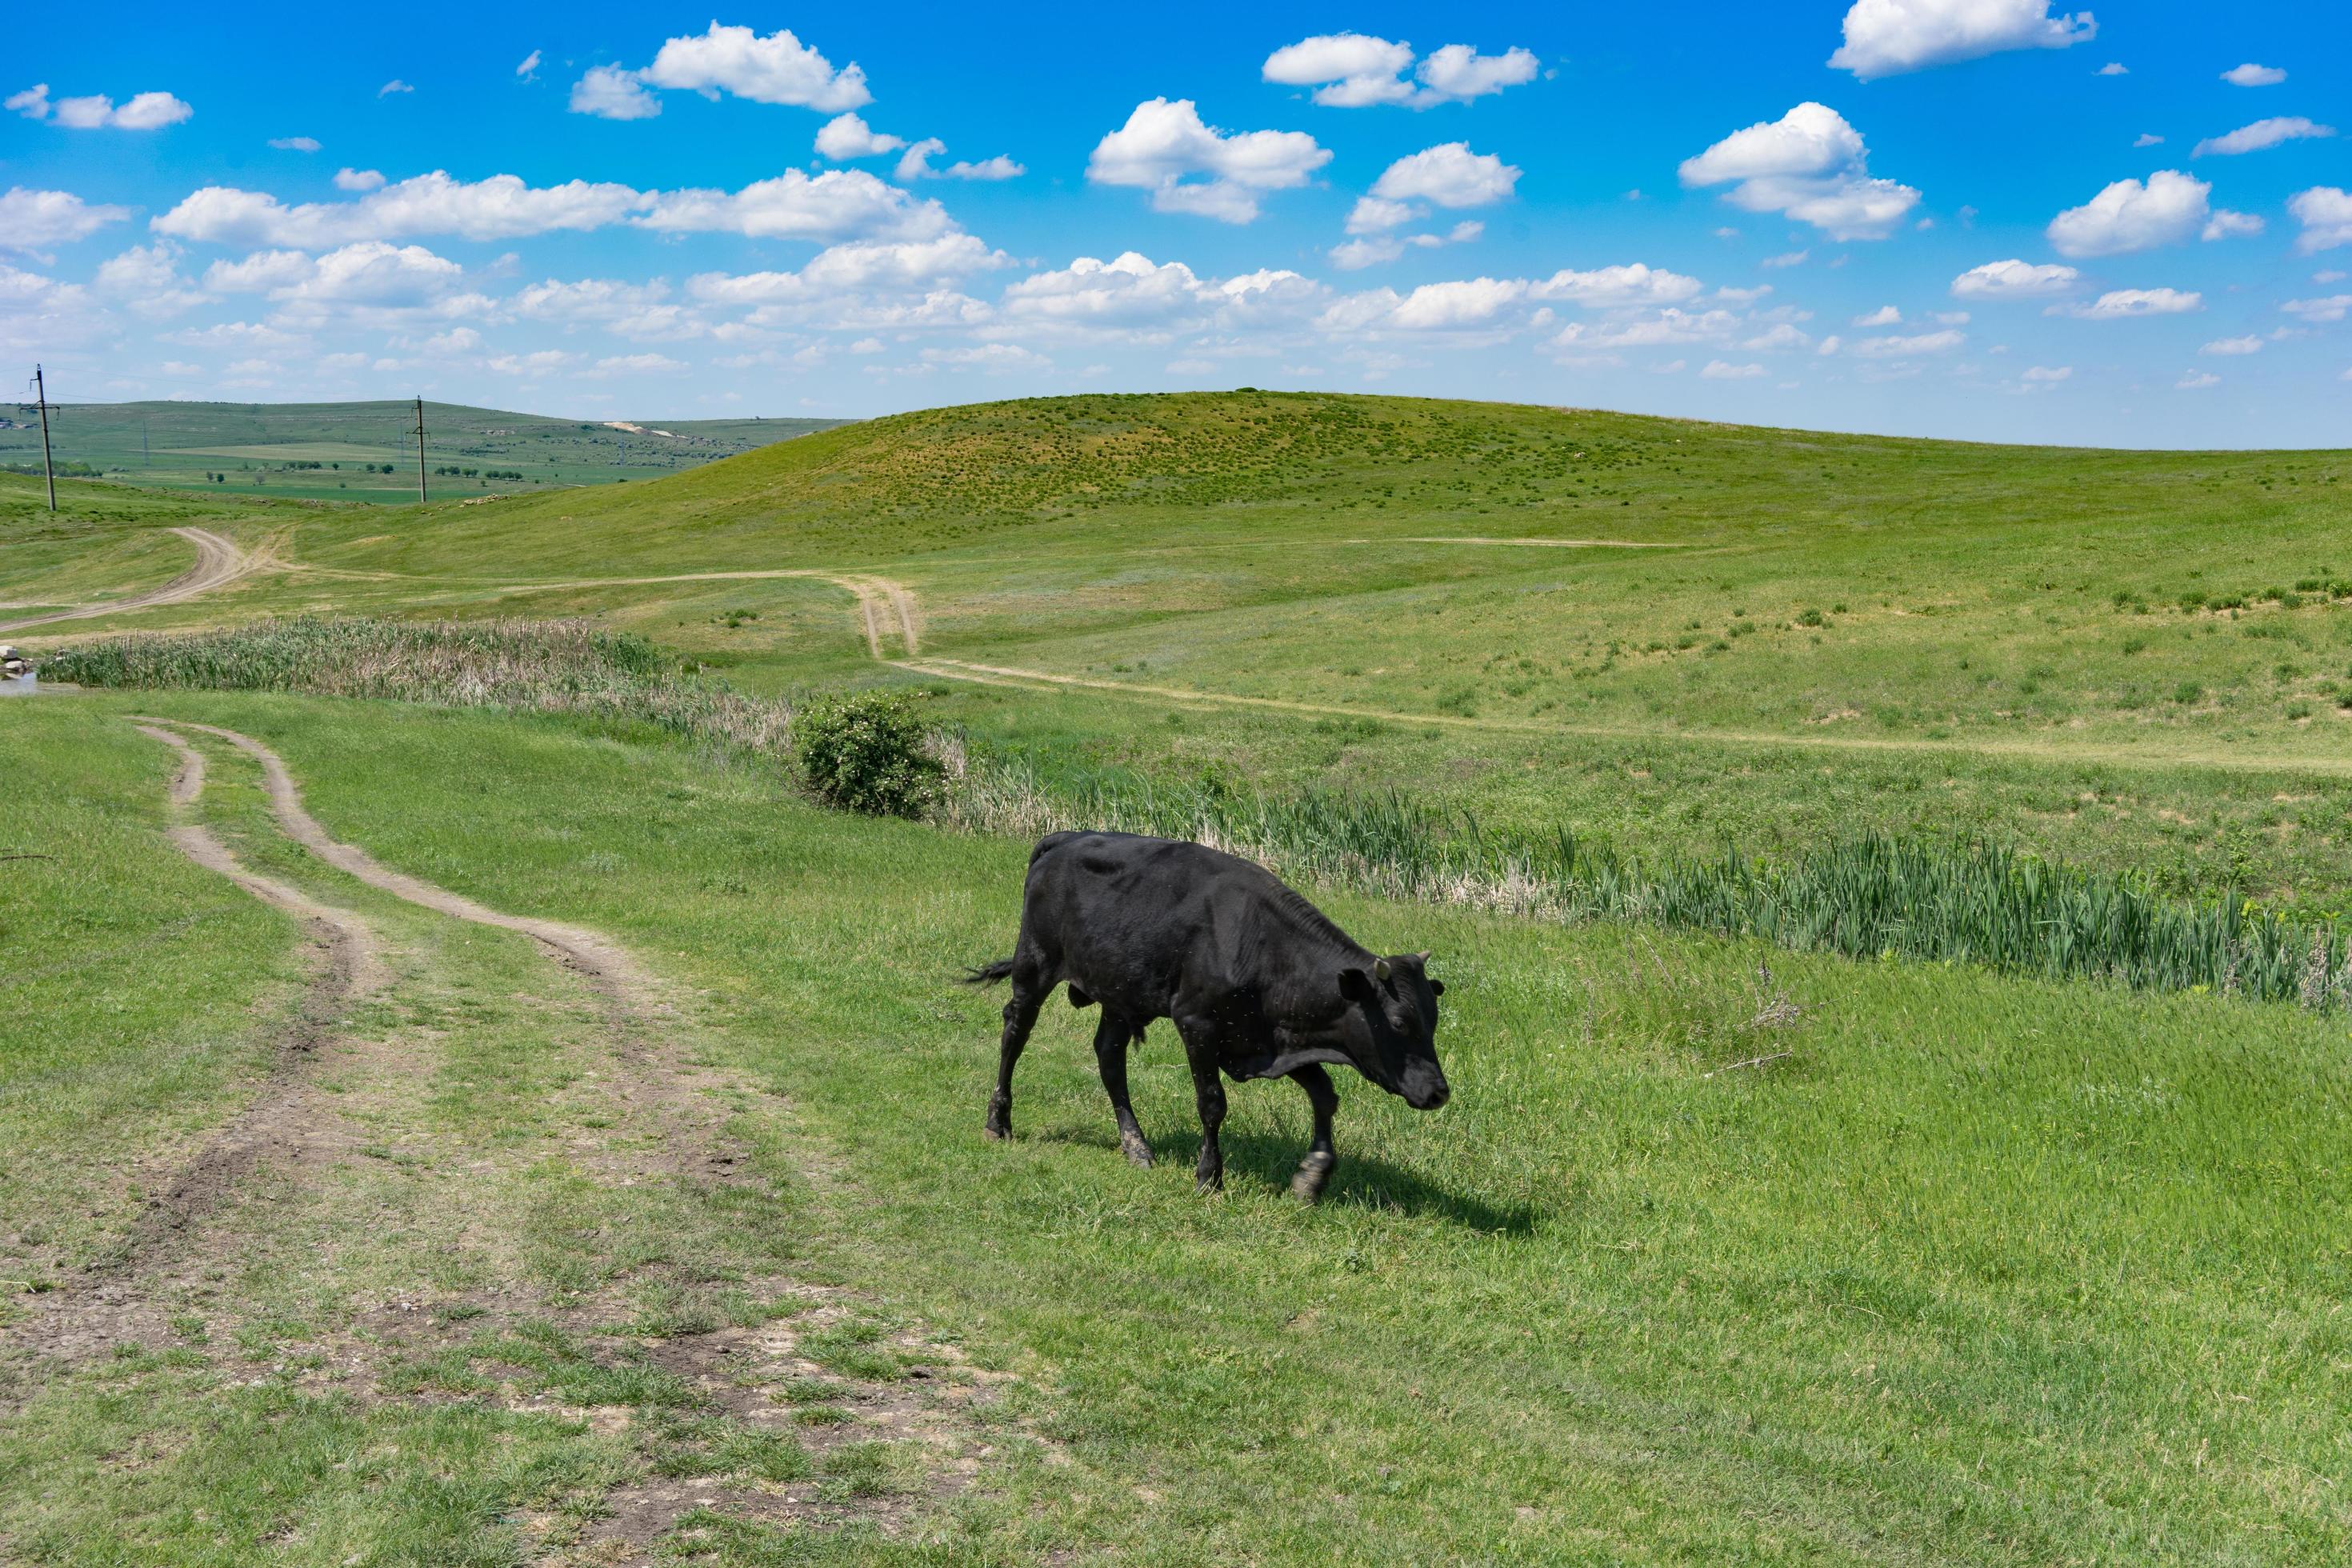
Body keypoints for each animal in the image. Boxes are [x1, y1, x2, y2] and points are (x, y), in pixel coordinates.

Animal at [959, 832, 1439, 1203]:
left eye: (1432, 1020)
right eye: (1399, 1023)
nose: (1439, 1092)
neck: (1263, 945)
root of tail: (1065, 838)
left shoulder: (1270, 1038)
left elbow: (1324, 1096)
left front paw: (1314, 1174)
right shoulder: (1198, 1024)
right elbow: (1212, 1104)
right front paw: (1210, 1175)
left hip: (1118, 991)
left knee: (1110, 1057)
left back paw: (1136, 1146)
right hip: (1034, 966)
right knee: (1015, 1033)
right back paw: (997, 1122)